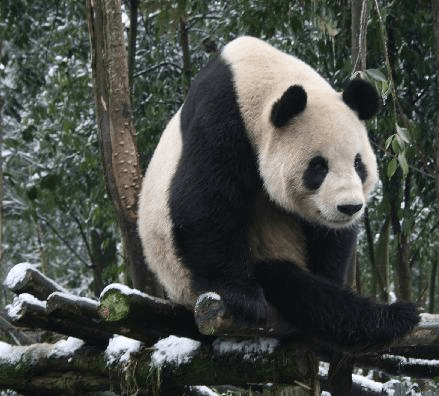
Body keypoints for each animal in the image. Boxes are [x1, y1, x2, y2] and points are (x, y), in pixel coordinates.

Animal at [138, 35, 420, 348]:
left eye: (359, 164)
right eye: (318, 167)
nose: (349, 207)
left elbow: (330, 238)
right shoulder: (219, 119)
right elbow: (203, 202)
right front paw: (242, 298)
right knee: (292, 286)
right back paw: (392, 316)